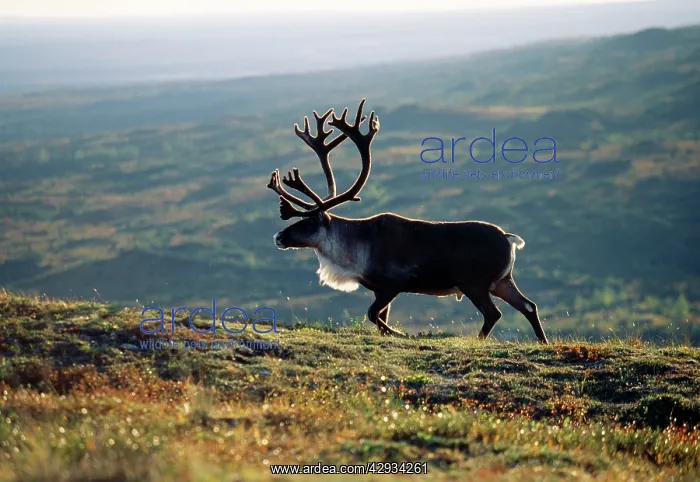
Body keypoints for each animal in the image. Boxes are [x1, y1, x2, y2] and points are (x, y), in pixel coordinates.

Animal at [267, 99, 549, 344]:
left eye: (309, 222)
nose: (279, 237)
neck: (353, 249)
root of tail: (509, 239)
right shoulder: (379, 289)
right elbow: (379, 315)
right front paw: (389, 333)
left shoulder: (395, 282)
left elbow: (373, 315)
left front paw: (399, 333)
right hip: (502, 281)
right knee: (529, 306)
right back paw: (542, 342)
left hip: (474, 283)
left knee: (494, 313)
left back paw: (478, 340)